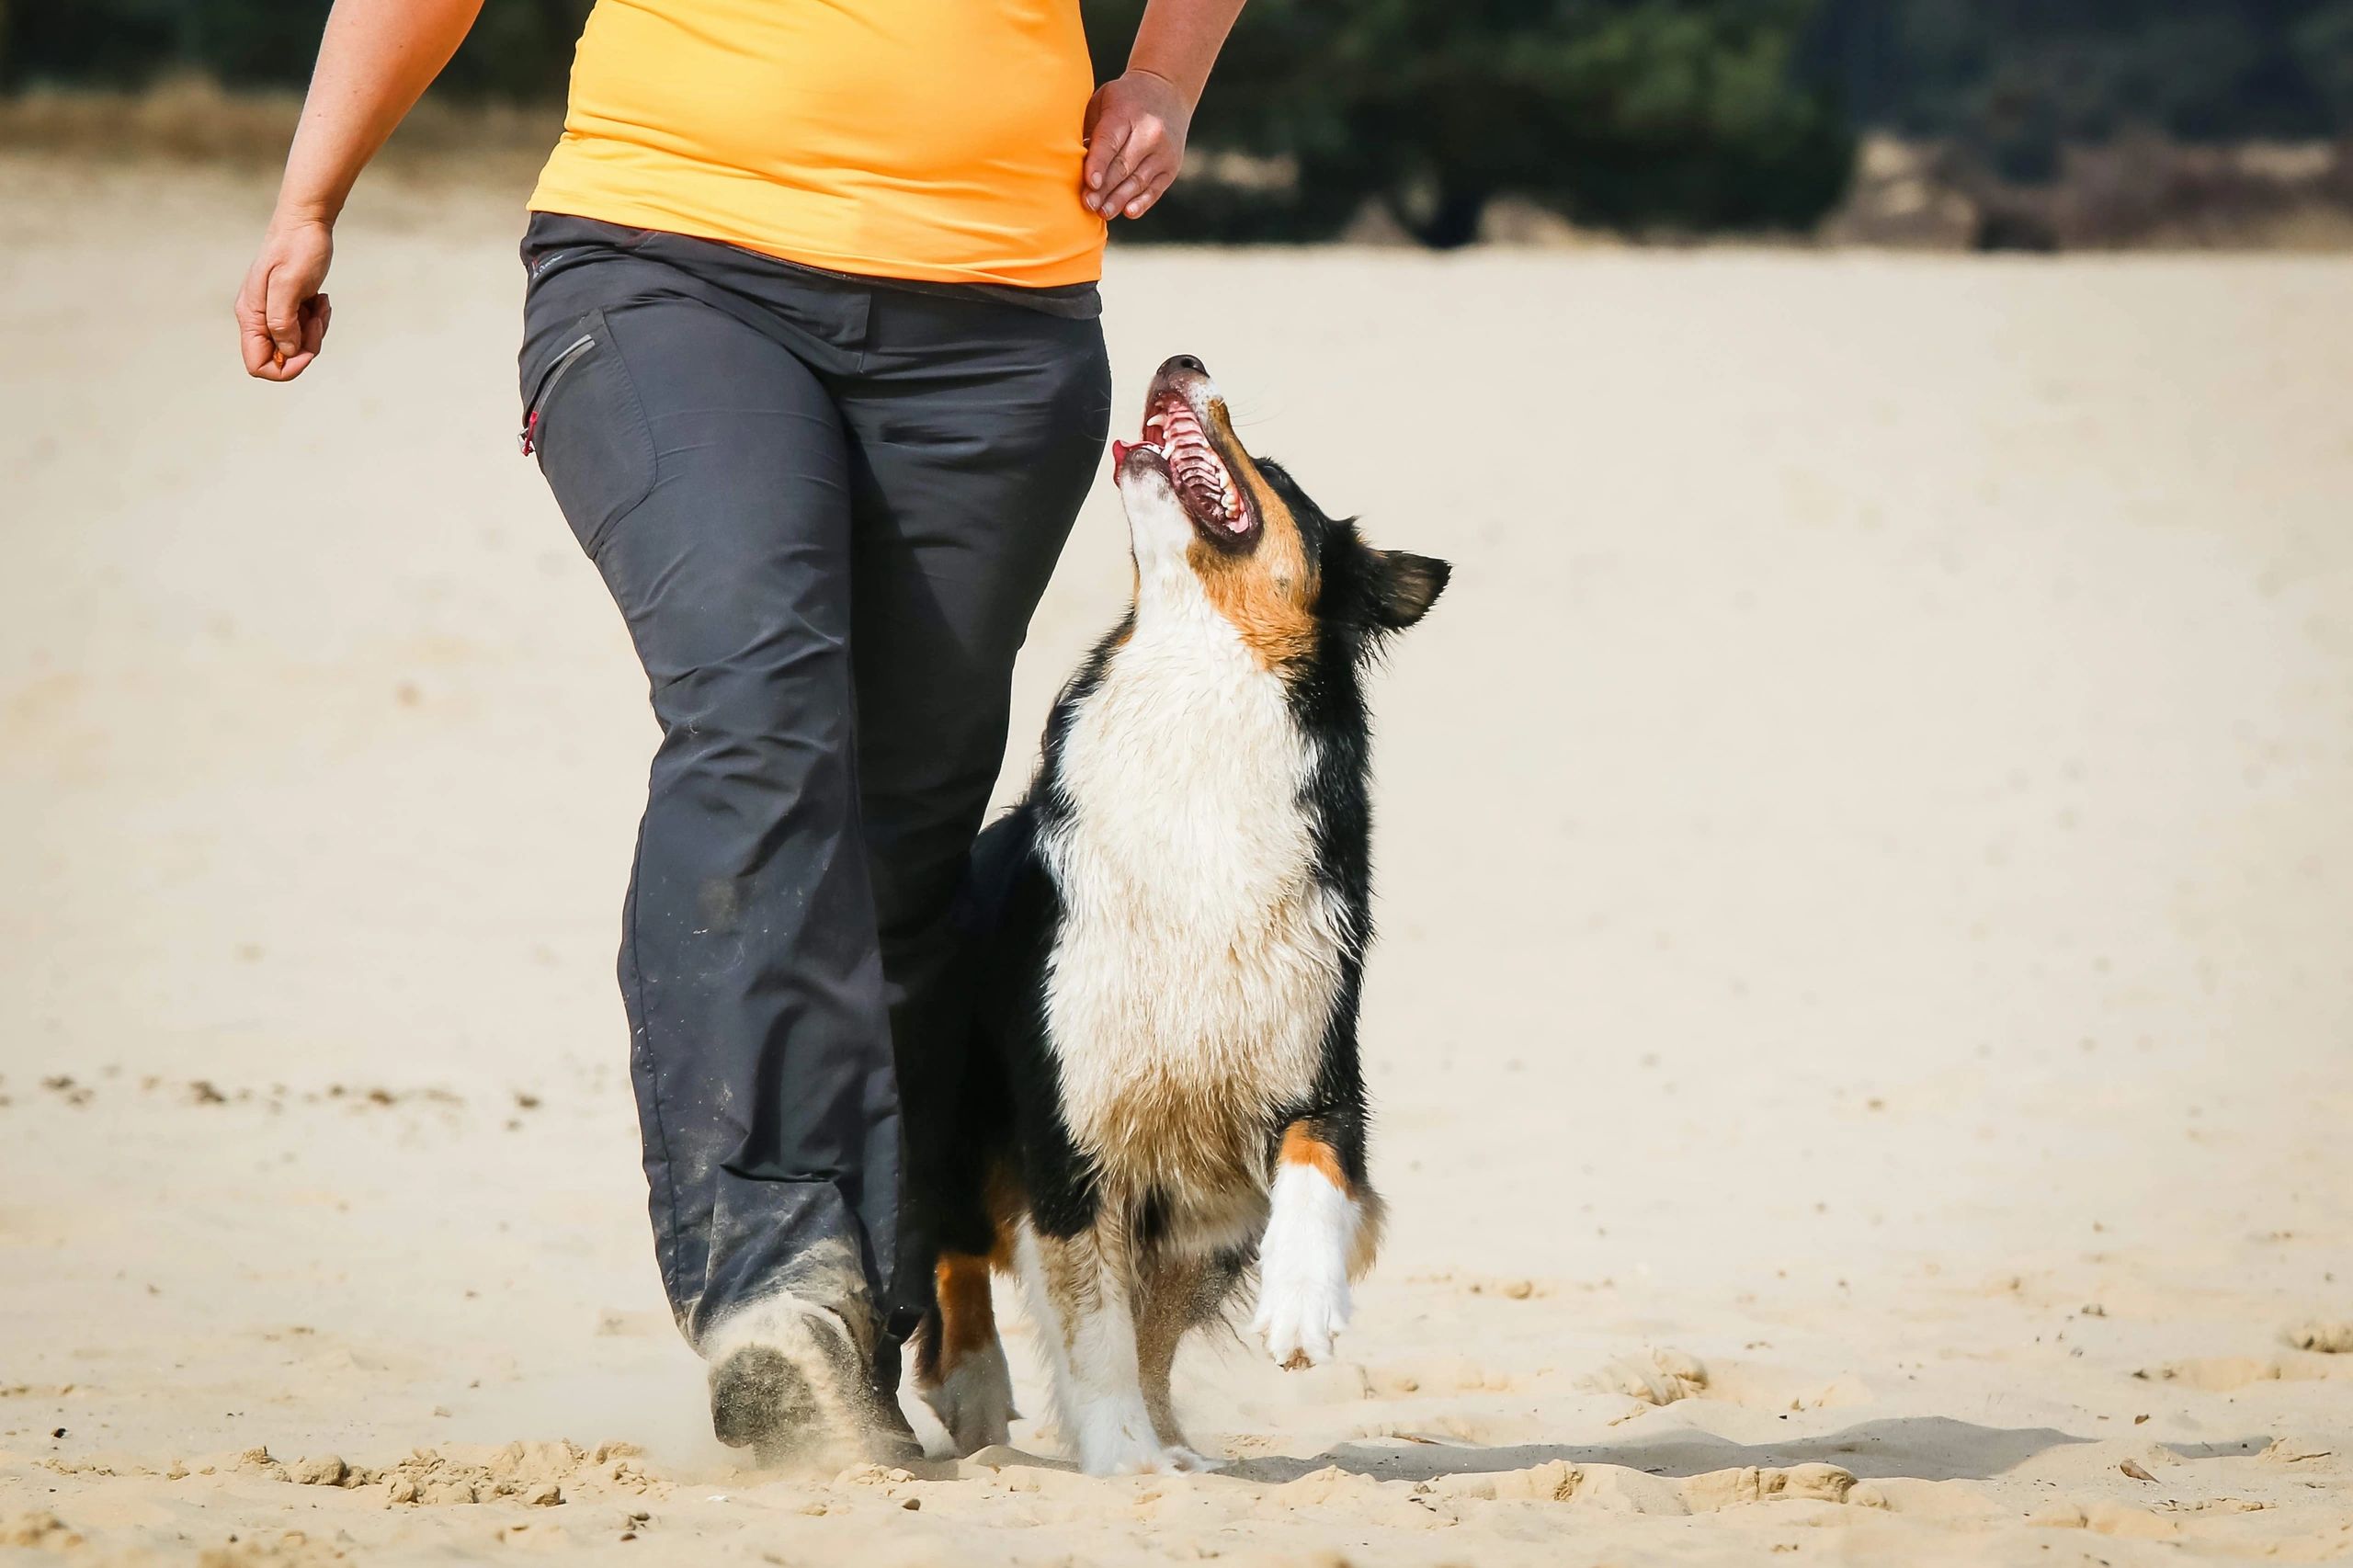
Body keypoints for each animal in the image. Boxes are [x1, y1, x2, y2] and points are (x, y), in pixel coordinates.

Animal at [904, 350, 1439, 1469]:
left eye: (1277, 473)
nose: (1182, 360)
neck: (1197, 673)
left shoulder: (1314, 1064)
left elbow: (1318, 1171)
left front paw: (1299, 1308)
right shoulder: (1071, 1115)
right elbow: (1094, 1322)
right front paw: (1120, 1457)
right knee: (953, 1243)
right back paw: (976, 1386)